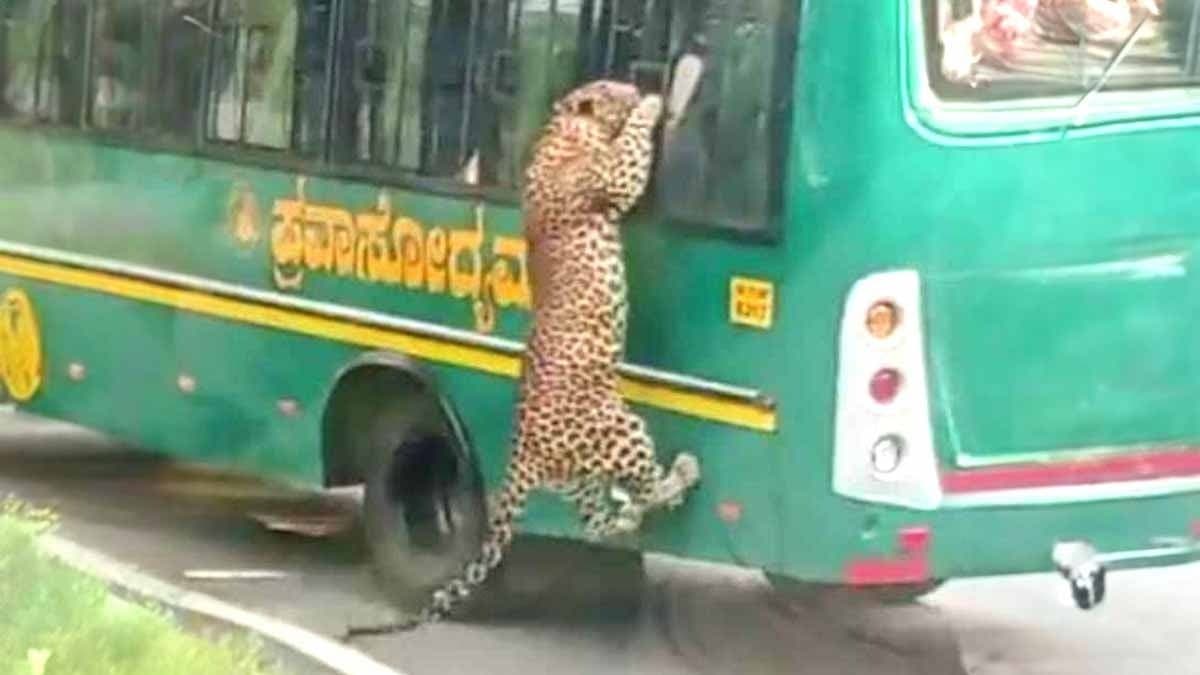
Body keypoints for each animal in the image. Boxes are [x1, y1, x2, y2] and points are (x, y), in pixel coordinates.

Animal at [344, 80, 701, 638]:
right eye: (614, 90)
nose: (635, 84)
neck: (562, 129)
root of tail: (521, 454)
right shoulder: (613, 177)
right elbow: (631, 155)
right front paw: (649, 106)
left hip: (580, 480)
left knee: (604, 522)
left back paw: (637, 508)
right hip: (620, 428)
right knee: (642, 490)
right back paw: (681, 475)